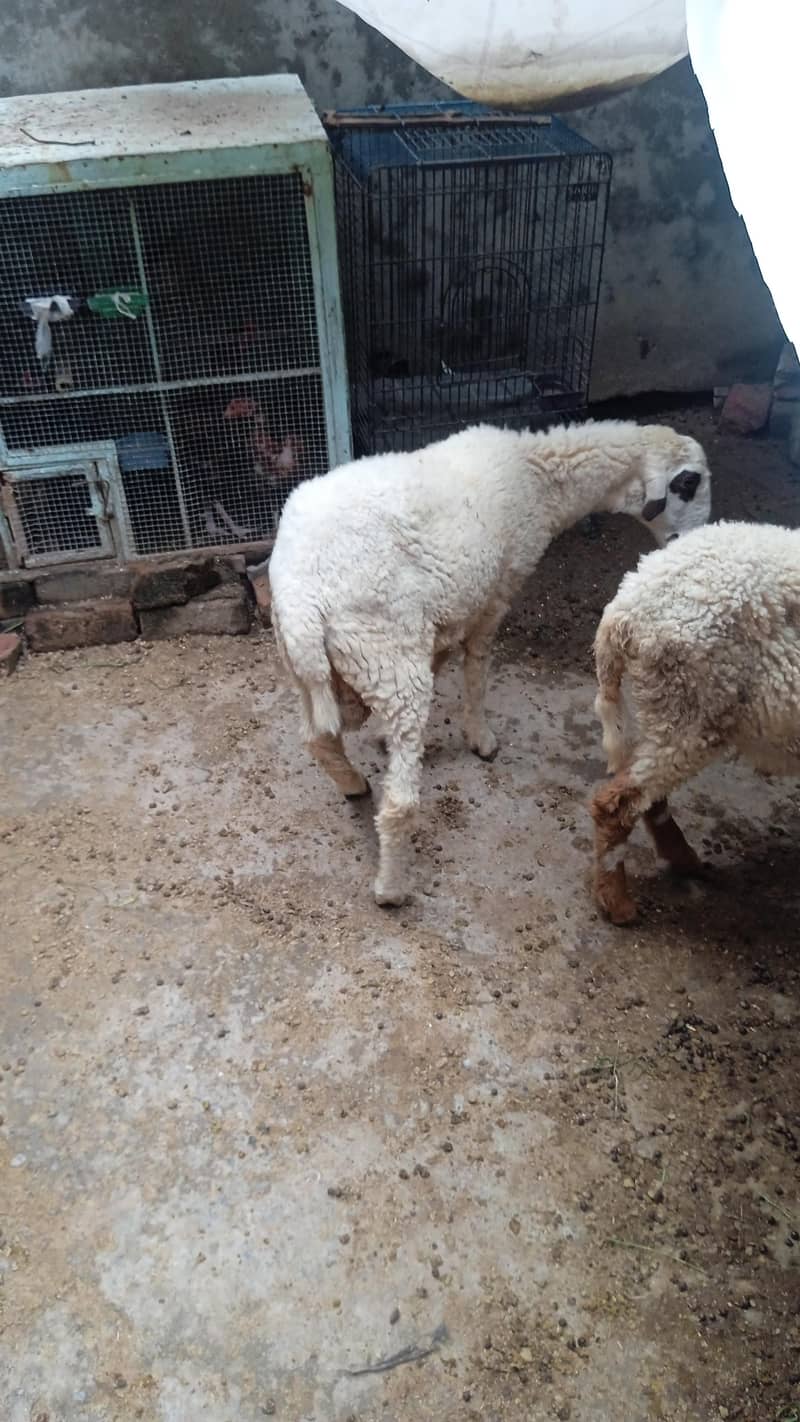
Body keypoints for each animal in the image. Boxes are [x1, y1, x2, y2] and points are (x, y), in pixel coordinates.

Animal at [268, 420, 711, 906]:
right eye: (688, 483)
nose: (691, 540)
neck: (538, 478)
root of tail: (301, 596)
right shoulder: (497, 592)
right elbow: (477, 669)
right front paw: (480, 738)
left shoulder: (450, 608)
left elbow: (443, 660)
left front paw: (388, 737)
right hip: (384, 652)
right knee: (398, 801)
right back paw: (391, 888)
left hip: (318, 666)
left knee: (318, 738)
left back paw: (352, 783)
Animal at [590, 519, 800, 925]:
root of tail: (623, 613)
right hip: (693, 710)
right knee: (618, 804)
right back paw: (618, 903)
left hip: (670, 711)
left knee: (644, 791)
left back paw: (683, 860)